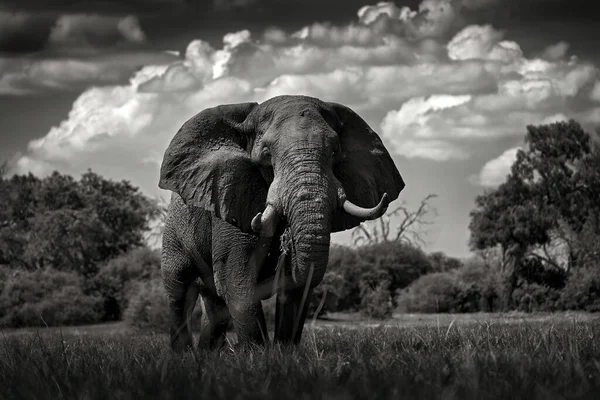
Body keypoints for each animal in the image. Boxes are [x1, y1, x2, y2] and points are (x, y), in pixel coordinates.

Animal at [157, 95, 406, 352]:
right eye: (267, 154)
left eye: (335, 151)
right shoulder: (230, 197)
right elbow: (236, 278)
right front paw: (257, 353)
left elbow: (295, 287)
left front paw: (284, 352)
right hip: (174, 232)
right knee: (179, 289)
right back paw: (184, 353)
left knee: (215, 304)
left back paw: (207, 353)